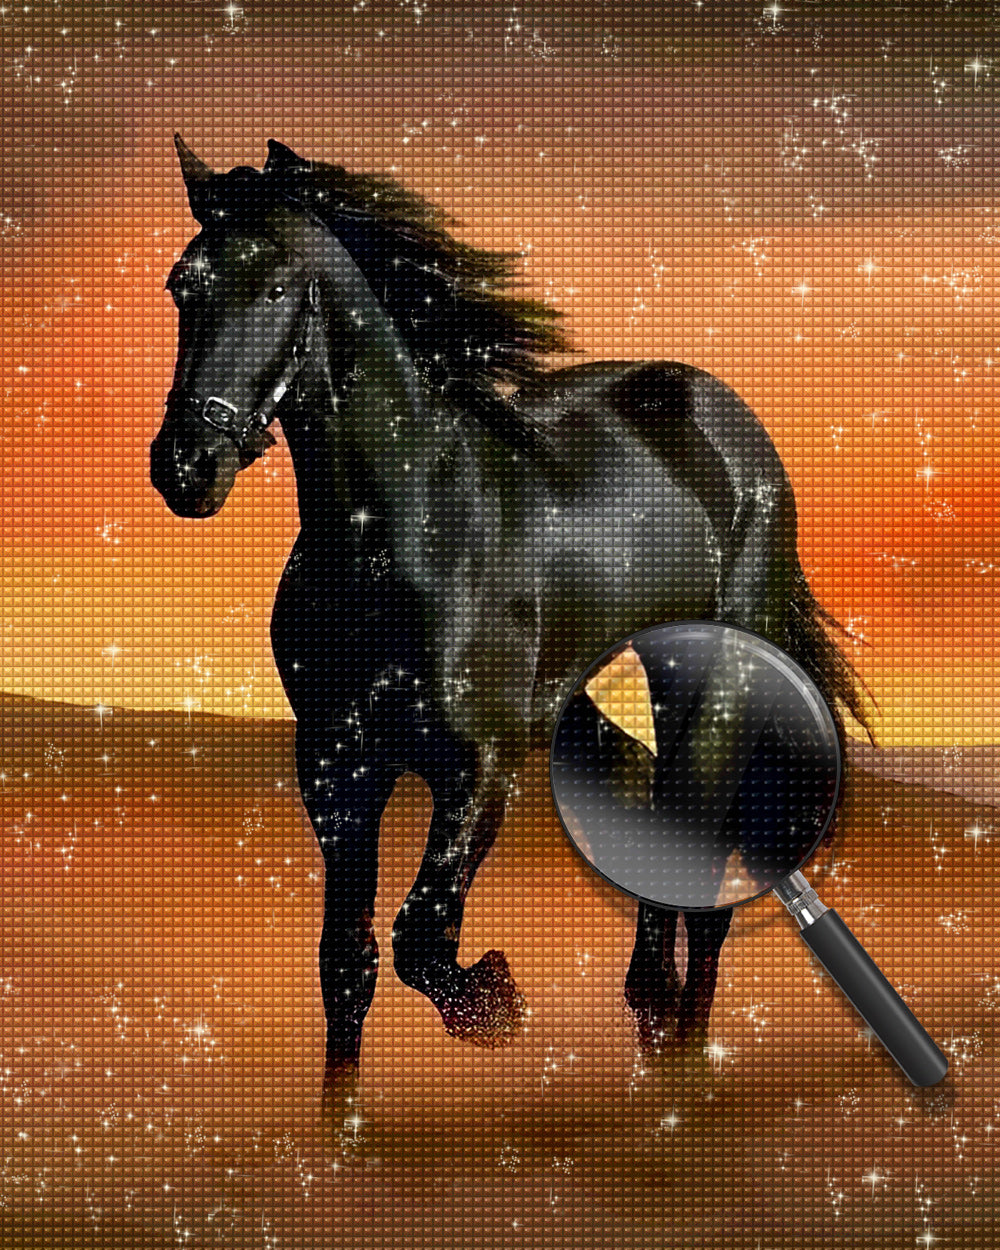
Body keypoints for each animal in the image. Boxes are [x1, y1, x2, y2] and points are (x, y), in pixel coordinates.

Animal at [150, 137, 867, 1069]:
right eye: (181, 285)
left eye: (275, 288)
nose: (186, 467)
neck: (402, 538)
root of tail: (730, 423)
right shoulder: (337, 768)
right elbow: (347, 968)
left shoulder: (481, 767)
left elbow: (421, 937)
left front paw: (494, 1001)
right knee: (648, 799)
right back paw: (648, 1011)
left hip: (717, 678)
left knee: (703, 862)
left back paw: (681, 1059)